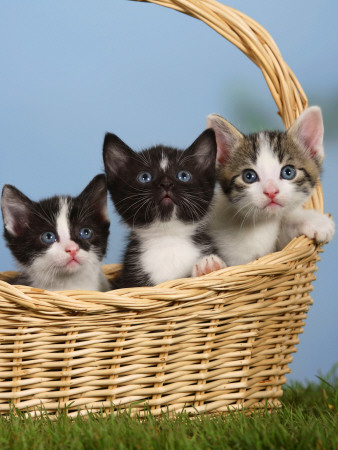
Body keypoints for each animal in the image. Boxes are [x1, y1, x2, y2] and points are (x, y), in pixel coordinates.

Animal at [207, 105, 334, 268]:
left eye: (288, 172)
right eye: (249, 176)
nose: (271, 192)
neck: (260, 225)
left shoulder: (278, 247)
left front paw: (315, 221)